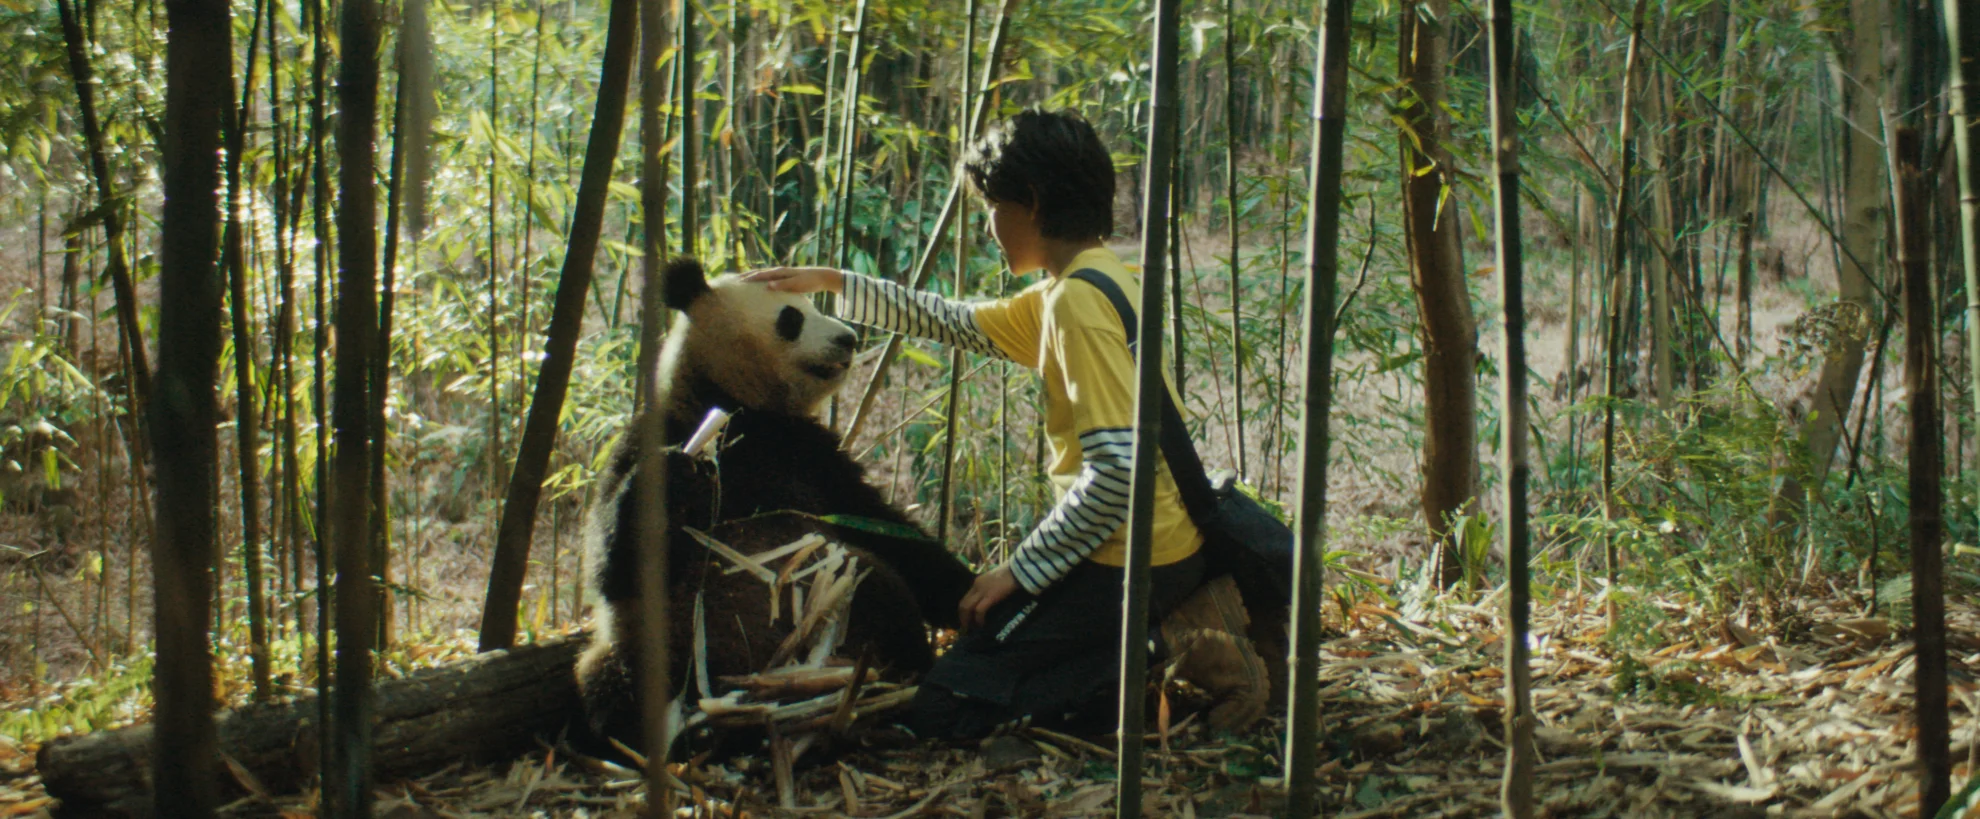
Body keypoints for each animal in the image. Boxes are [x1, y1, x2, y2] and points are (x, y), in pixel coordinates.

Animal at [575, 257, 977, 754]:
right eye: (791, 317)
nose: (849, 338)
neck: (737, 408)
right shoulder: (654, 432)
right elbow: (610, 566)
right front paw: (675, 471)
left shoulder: (813, 456)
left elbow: (885, 528)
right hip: (653, 647)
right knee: (610, 686)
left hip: (842, 604)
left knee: (880, 586)